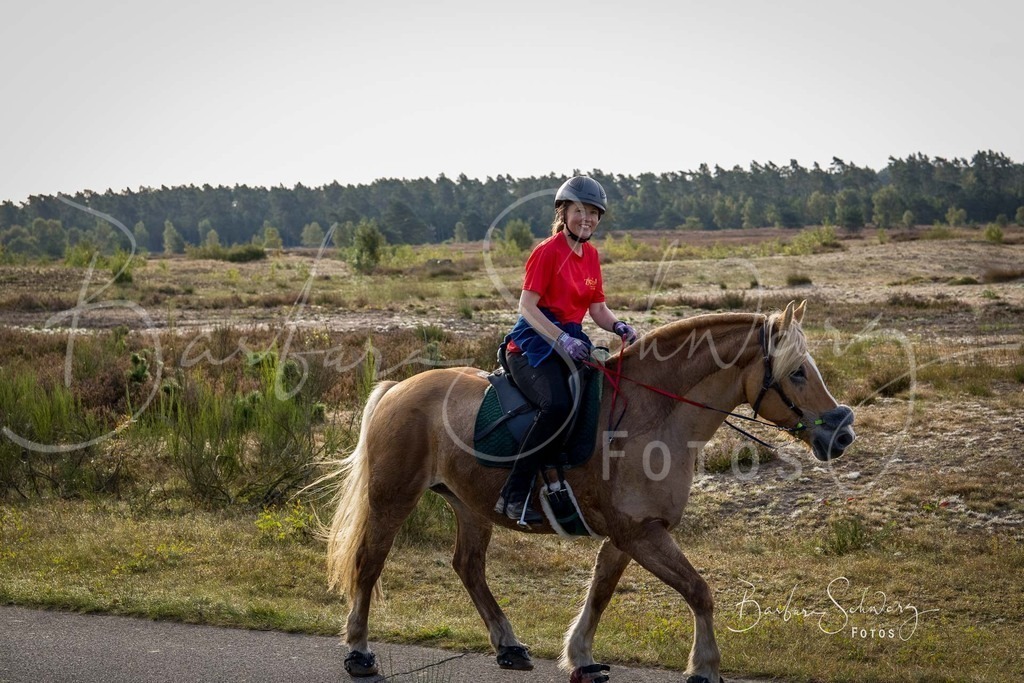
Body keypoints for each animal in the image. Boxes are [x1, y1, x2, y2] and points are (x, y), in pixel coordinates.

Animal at [326, 301, 855, 683]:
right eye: (798, 372)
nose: (843, 434)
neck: (654, 415)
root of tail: (397, 388)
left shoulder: (631, 535)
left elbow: (601, 592)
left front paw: (580, 656)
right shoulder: (640, 534)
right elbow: (699, 590)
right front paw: (704, 666)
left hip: (470, 505)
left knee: (469, 568)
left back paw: (509, 645)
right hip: (392, 499)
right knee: (369, 564)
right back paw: (359, 652)